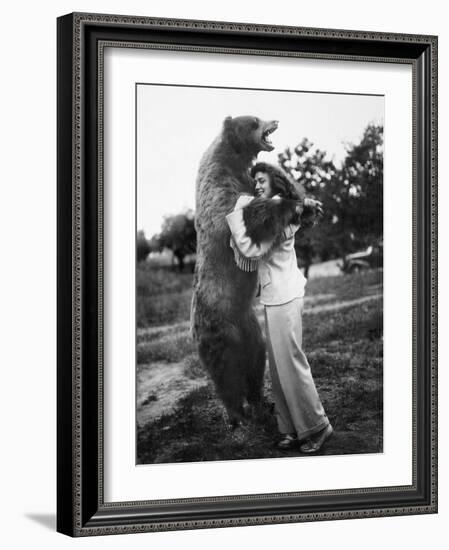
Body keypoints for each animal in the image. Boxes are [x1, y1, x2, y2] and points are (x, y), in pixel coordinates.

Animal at [189, 115, 304, 426]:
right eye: (253, 120)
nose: (274, 119)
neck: (232, 158)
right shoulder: (219, 191)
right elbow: (243, 215)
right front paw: (289, 202)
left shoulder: (244, 180)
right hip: (220, 328)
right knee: (226, 373)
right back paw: (236, 414)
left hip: (249, 326)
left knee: (255, 360)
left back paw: (261, 403)